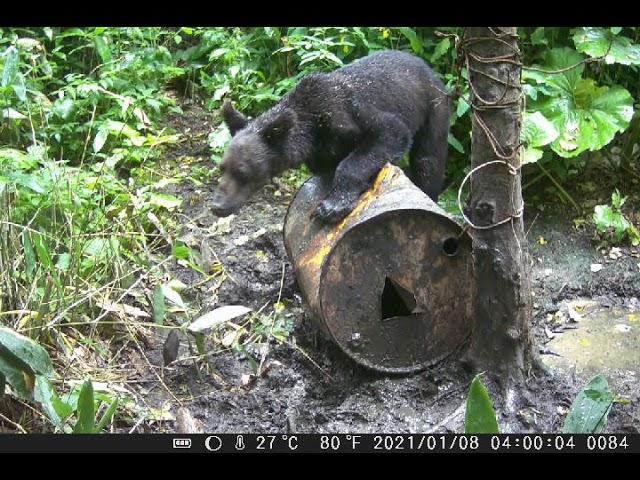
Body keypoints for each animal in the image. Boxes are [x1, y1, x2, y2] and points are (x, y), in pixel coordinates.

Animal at [211, 49, 450, 222]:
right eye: (222, 168)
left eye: (243, 173)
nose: (217, 206)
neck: (313, 127)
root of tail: (431, 71)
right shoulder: (319, 150)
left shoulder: (348, 112)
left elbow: (389, 132)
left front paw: (332, 206)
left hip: (434, 108)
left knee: (428, 161)